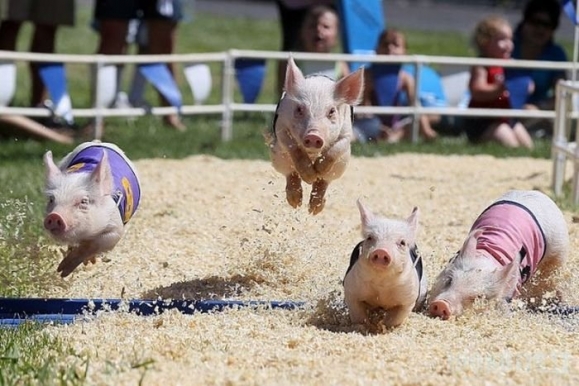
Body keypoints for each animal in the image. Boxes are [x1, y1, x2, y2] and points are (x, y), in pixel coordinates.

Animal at [43, 142, 142, 278]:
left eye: (84, 201)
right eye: (51, 199)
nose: (54, 216)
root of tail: (100, 142)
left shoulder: (115, 226)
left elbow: (98, 242)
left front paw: (64, 270)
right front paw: (61, 271)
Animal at [430, 190, 572, 320]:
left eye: (479, 297)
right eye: (449, 280)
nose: (442, 304)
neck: (489, 256)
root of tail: (541, 194)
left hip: (559, 252)